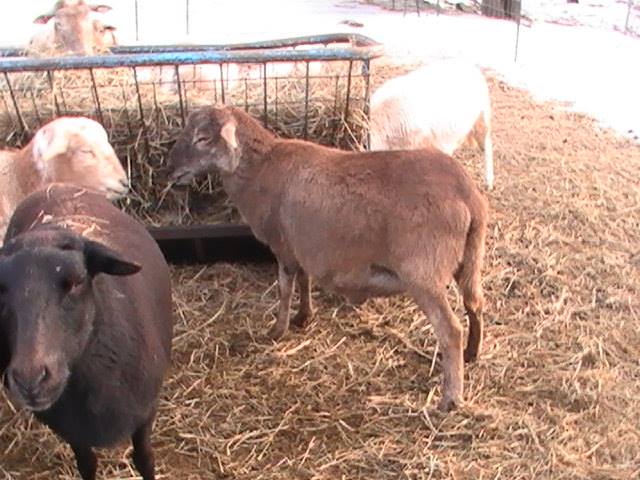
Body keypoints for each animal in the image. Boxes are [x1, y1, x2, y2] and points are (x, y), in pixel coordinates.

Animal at [168, 106, 488, 412]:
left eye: (202, 138)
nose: (171, 170)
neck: (260, 168)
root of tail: (468, 196)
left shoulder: (283, 246)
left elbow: (285, 288)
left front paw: (277, 330)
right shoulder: (301, 243)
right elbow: (304, 279)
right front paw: (303, 317)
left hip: (423, 272)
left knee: (450, 329)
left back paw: (450, 398)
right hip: (469, 260)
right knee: (474, 303)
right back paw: (471, 353)